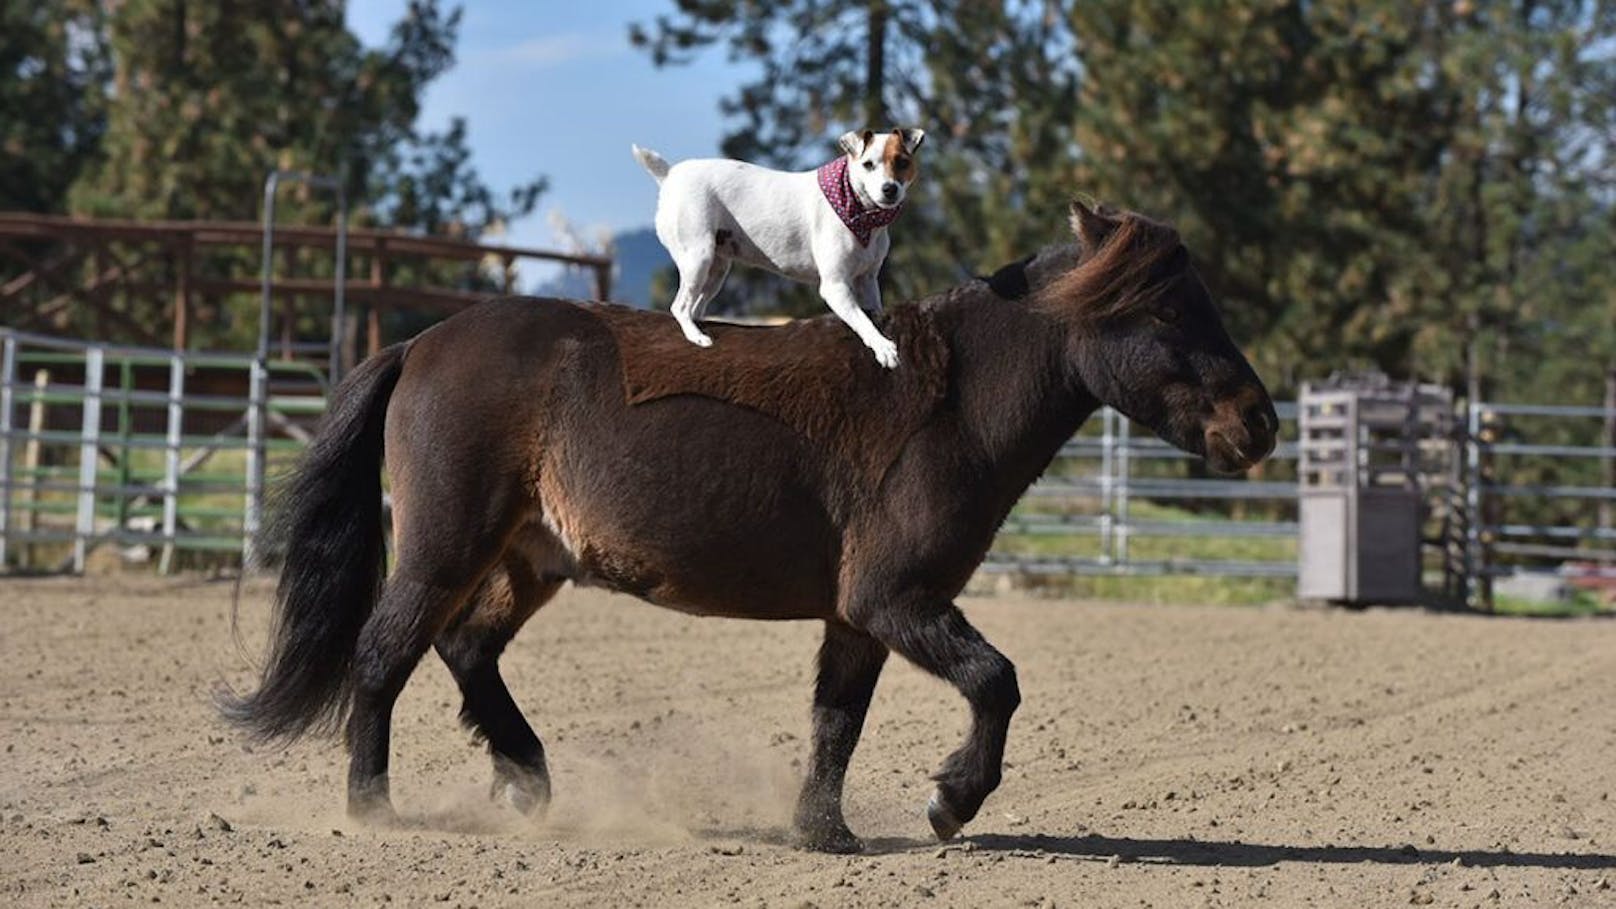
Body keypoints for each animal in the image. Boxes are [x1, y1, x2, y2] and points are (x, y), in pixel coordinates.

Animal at [221, 198, 1273, 847]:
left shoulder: (859, 616)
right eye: (1166, 310)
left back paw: (527, 778)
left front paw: (825, 833)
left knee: (465, 649)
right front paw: (950, 800)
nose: (1258, 422)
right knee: (384, 652)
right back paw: (373, 807)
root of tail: (420, 342)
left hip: (530, 560)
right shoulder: (894, 598)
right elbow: (995, 681)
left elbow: (837, 721)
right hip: (446, 547)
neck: (942, 400)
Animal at [633, 128, 930, 368]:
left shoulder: (867, 281)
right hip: (698, 258)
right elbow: (862, 320)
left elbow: (872, 312)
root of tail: (670, 174)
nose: (889, 189)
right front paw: (883, 348)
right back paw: (696, 337)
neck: (861, 213)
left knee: (695, 306)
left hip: (716, 270)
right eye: (868, 164)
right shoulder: (835, 286)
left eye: (902, 162)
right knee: (679, 307)